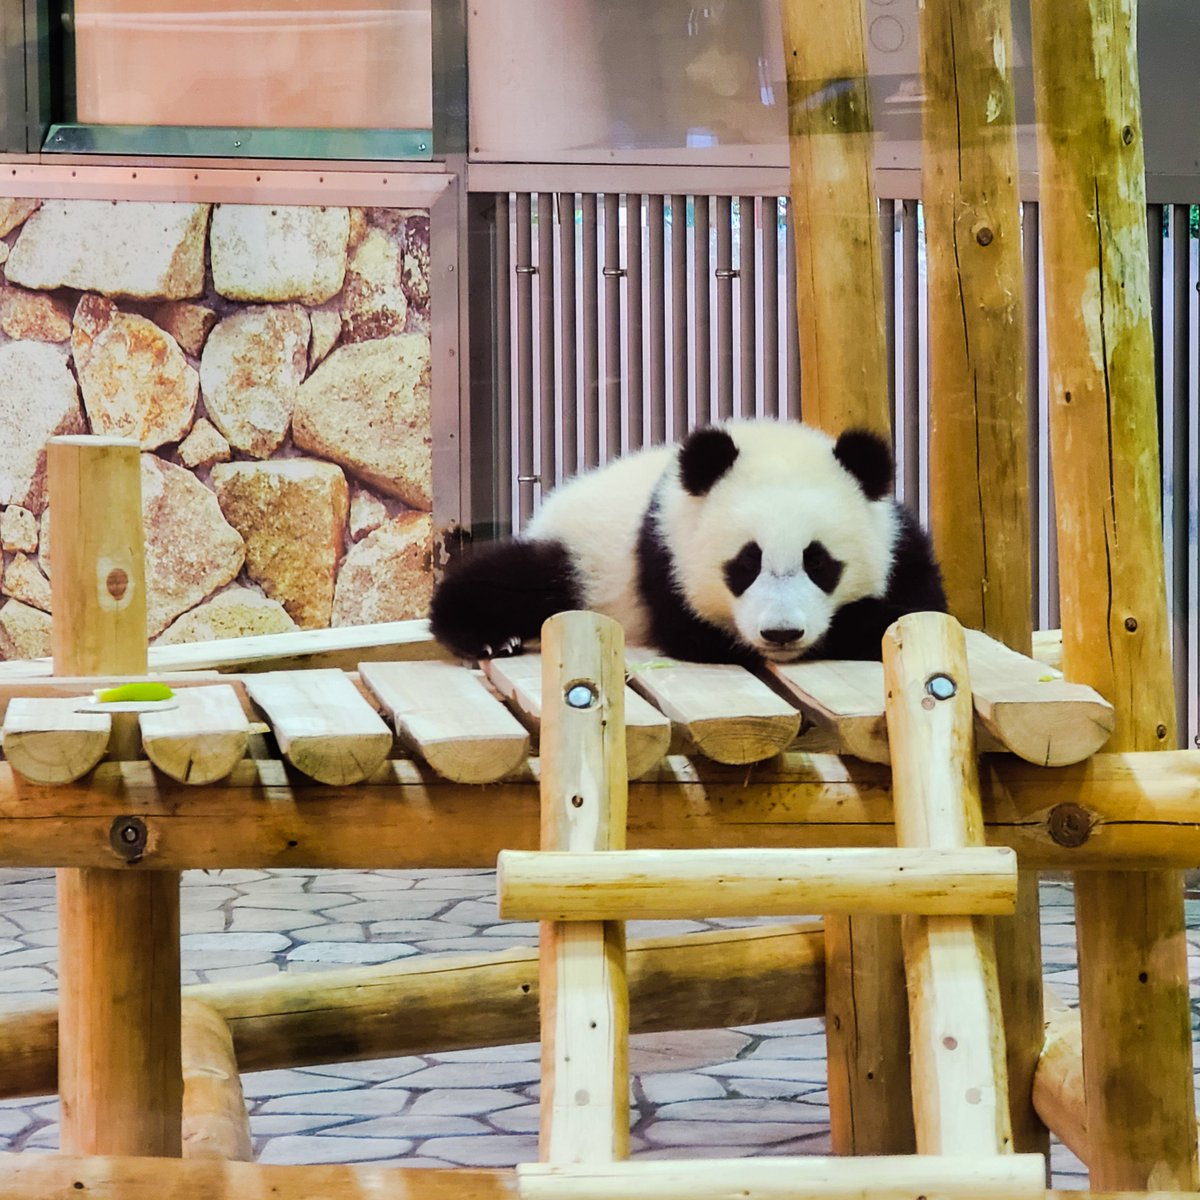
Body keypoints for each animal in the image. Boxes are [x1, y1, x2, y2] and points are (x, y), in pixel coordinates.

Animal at [429, 420, 946, 667]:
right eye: (744, 564)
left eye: (820, 563)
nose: (781, 634)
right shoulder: (665, 557)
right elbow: (697, 634)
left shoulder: (901, 546)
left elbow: (923, 607)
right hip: (581, 556)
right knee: (519, 578)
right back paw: (489, 635)